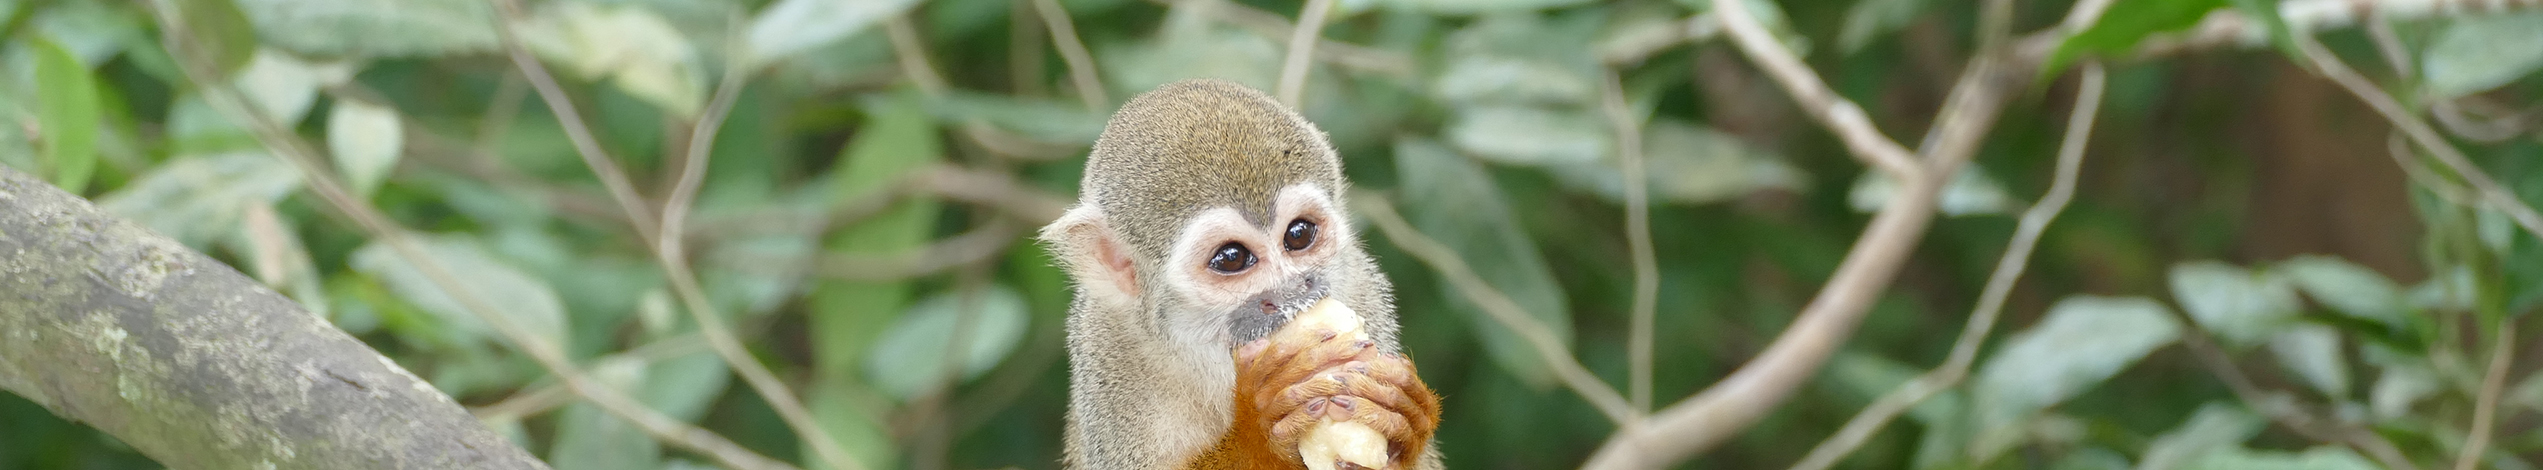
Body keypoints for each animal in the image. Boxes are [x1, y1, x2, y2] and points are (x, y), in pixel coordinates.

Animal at [1037, 79, 1444, 467]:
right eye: (1231, 258)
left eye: (1298, 235)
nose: (1293, 291)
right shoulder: (1106, 349)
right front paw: (1258, 430)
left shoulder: (1363, 288)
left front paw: (1405, 419)